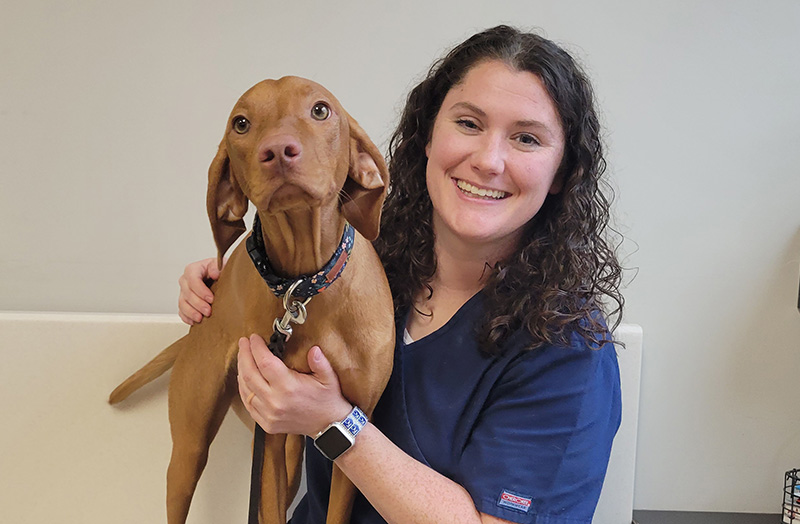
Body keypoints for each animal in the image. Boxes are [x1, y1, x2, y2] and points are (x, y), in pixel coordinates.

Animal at [109, 77, 396, 524]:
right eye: (241, 123)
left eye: (320, 110)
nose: (277, 151)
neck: (303, 285)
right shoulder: (271, 437)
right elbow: (271, 509)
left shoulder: (352, 439)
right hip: (191, 451)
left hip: (290, 452)